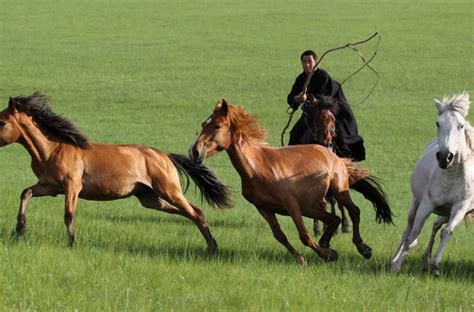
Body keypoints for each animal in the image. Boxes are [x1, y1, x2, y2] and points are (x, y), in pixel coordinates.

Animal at [0, 91, 230, 250]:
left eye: (2, 122)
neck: (53, 148)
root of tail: (165, 156)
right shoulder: (50, 187)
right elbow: (26, 193)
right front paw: (20, 230)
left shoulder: (72, 186)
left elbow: (69, 215)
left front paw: (72, 243)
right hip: (151, 199)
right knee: (190, 213)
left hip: (169, 191)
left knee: (196, 212)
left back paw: (213, 246)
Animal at [189, 99, 392, 264]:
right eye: (203, 124)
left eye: (217, 126)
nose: (195, 152)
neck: (258, 168)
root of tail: (334, 155)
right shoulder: (264, 208)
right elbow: (280, 236)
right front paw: (305, 257)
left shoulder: (291, 204)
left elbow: (304, 235)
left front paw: (326, 255)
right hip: (310, 207)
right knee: (333, 219)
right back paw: (326, 243)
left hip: (337, 192)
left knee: (353, 212)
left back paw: (363, 248)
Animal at [392, 91, 474, 276]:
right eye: (438, 123)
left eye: (461, 126)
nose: (445, 157)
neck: (452, 176)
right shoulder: (426, 205)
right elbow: (413, 234)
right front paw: (397, 266)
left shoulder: (460, 207)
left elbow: (447, 232)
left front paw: (435, 265)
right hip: (416, 204)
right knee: (407, 232)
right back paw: (395, 260)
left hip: (445, 212)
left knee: (437, 226)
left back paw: (426, 261)